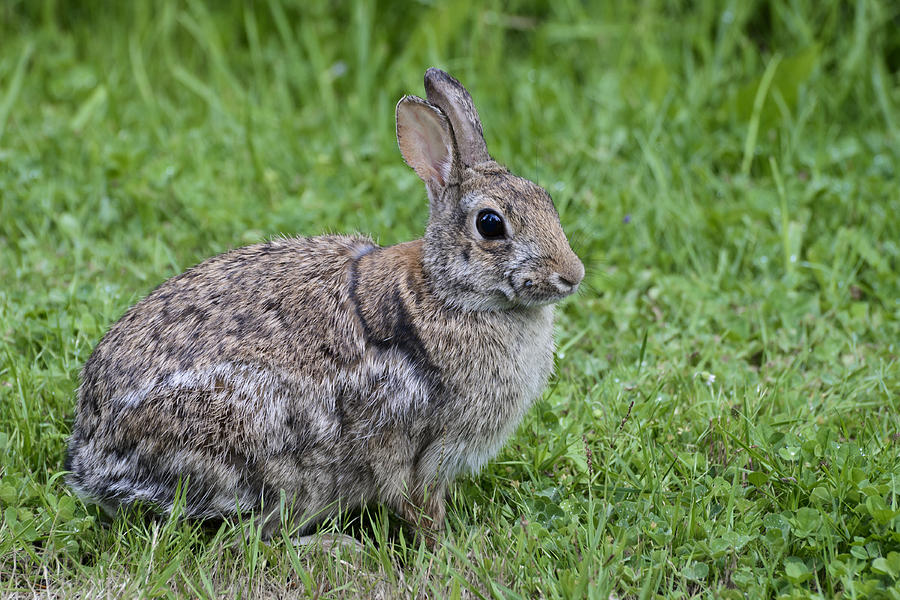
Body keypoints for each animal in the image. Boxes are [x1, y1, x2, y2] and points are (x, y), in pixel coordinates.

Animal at [63, 68, 584, 548]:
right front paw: (451, 547)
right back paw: (334, 546)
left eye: (546, 200)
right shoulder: (412, 450)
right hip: (261, 447)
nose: (572, 275)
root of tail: (93, 458)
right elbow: (417, 504)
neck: (447, 291)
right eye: (490, 224)